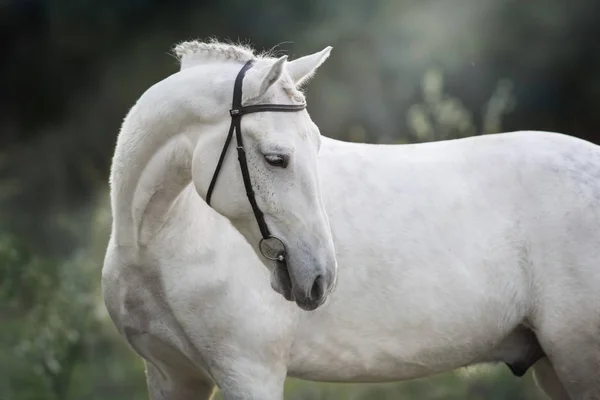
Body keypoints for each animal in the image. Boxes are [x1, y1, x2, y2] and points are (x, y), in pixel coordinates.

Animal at [103, 38, 600, 400]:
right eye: (277, 158)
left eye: (318, 146)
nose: (321, 277)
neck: (155, 242)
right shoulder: (172, 375)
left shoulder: (250, 373)